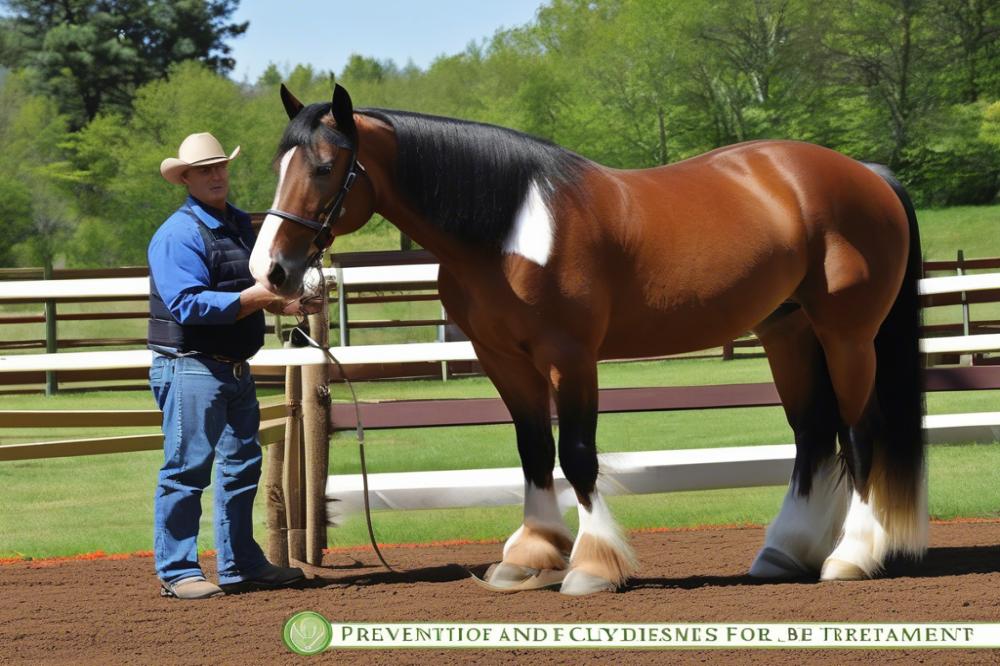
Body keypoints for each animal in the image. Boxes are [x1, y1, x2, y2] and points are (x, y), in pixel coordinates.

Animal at [252, 80, 928, 592]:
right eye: (278, 165)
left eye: (324, 167)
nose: (272, 270)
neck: (509, 232)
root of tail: (865, 174)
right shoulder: (503, 360)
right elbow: (533, 450)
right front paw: (527, 557)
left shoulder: (570, 357)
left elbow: (577, 454)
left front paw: (593, 565)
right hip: (788, 332)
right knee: (813, 435)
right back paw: (785, 553)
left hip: (847, 336)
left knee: (859, 434)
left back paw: (850, 557)